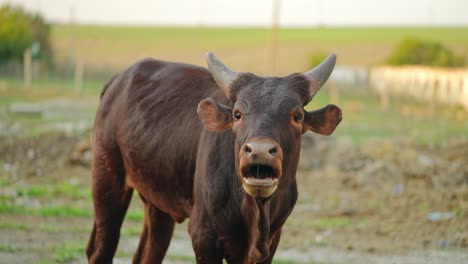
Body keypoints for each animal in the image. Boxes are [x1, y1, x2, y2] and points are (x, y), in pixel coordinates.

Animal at [86, 52, 342, 262]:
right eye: (237, 114)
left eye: (297, 116)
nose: (259, 150)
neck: (254, 212)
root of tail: (117, 80)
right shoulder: (204, 235)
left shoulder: (272, 240)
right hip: (106, 180)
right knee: (101, 248)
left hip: (157, 202)